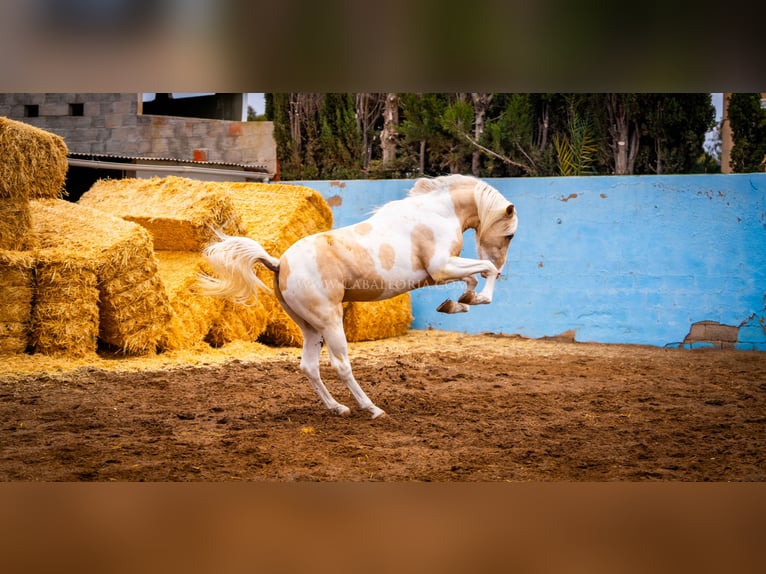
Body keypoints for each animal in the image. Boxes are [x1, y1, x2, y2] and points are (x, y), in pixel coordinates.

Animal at [197, 174, 518, 419]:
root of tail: (279, 263)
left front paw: (456, 303)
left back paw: (338, 408)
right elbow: (484, 271)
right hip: (330, 322)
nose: (504, 266)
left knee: (309, 366)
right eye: (510, 235)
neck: (436, 213)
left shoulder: (443, 270)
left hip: (310, 328)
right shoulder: (441, 267)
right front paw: (474, 298)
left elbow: (472, 279)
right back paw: (372, 409)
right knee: (341, 365)